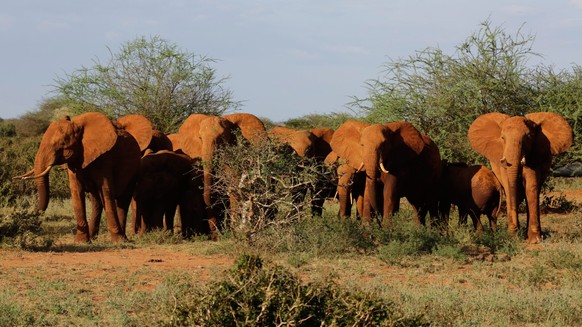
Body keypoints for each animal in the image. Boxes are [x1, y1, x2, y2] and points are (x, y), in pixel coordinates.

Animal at [19, 113, 153, 243]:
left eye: (63, 143)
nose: (33, 212)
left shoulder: (104, 158)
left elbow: (106, 191)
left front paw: (118, 242)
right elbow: (76, 192)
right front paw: (81, 242)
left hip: (134, 169)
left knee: (122, 201)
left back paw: (123, 238)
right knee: (97, 201)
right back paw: (94, 237)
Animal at [470, 113, 576, 243]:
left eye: (528, 137)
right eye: (502, 138)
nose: (515, 232)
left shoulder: (534, 157)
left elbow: (531, 187)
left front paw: (534, 240)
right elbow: (509, 187)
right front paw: (513, 235)